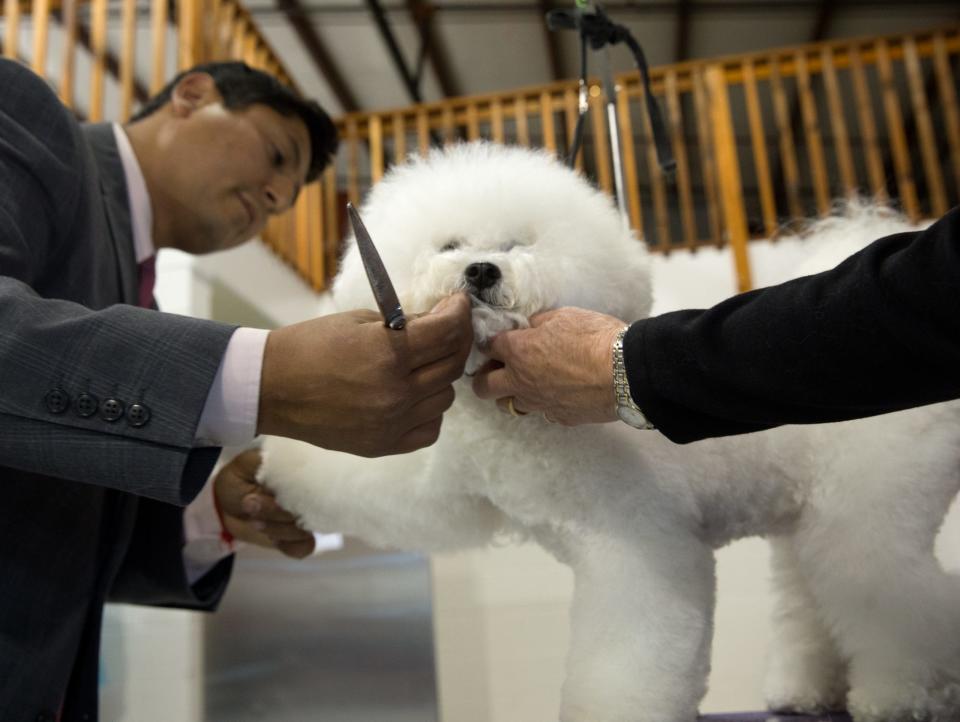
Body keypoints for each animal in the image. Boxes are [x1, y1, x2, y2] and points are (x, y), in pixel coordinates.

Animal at [258, 142, 960, 720]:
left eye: (518, 245)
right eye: (450, 245)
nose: (482, 271)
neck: (520, 427)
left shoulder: (641, 548)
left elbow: (627, 661)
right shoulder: (455, 487)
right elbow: (385, 489)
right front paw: (273, 470)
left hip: (868, 506)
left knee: (902, 593)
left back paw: (903, 697)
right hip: (806, 517)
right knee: (811, 598)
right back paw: (806, 693)